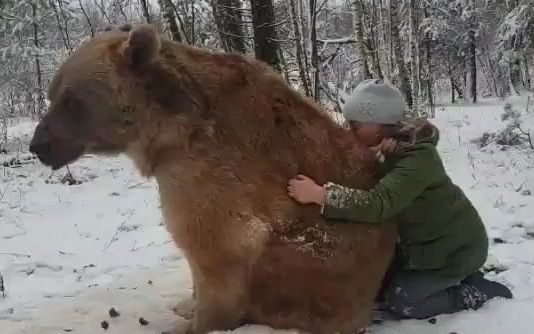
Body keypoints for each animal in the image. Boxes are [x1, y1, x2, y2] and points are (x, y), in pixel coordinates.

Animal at [29, 24, 398, 334]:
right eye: (52, 94)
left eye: (71, 99)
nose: (38, 145)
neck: (165, 132)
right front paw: (185, 305)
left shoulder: (204, 171)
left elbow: (215, 246)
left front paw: (192, 323)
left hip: (309, 269)